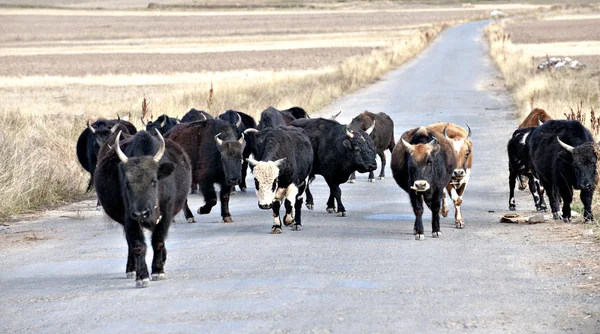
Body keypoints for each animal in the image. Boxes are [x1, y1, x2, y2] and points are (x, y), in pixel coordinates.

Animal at [95, 130, 192, 288]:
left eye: (154, 181)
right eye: (127, 183)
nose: (141, 213)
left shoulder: (166, 214)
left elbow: (158, 241)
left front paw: (158, 271)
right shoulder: (129, 218)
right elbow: (137, 246)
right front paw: (142, 276)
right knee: (130, 243)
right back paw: (131, 269)